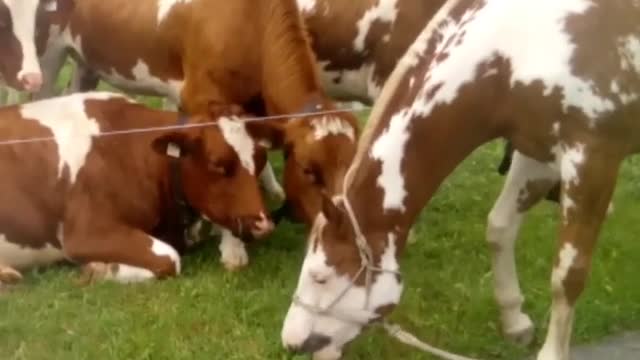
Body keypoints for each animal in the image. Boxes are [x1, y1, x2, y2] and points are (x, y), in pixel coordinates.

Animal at [0, 92, 278, 286]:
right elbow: (170, 258)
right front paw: (104, 269)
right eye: (218, 164)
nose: (263, 225)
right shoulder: (84, 233)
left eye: (261, 160)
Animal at [30, 0, 360, 270]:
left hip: (86, 62)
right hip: (43, 57)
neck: (252, 23)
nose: (348, 235)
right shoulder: (201, 97)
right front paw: (232, 246)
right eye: (308, 171)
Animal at [280, 0, 640, 360]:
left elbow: (568, 274)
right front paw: (515, 320)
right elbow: (500, 228)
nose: (291, 340)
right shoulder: (537, 150)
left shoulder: (591, 157)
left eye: (320, 277)